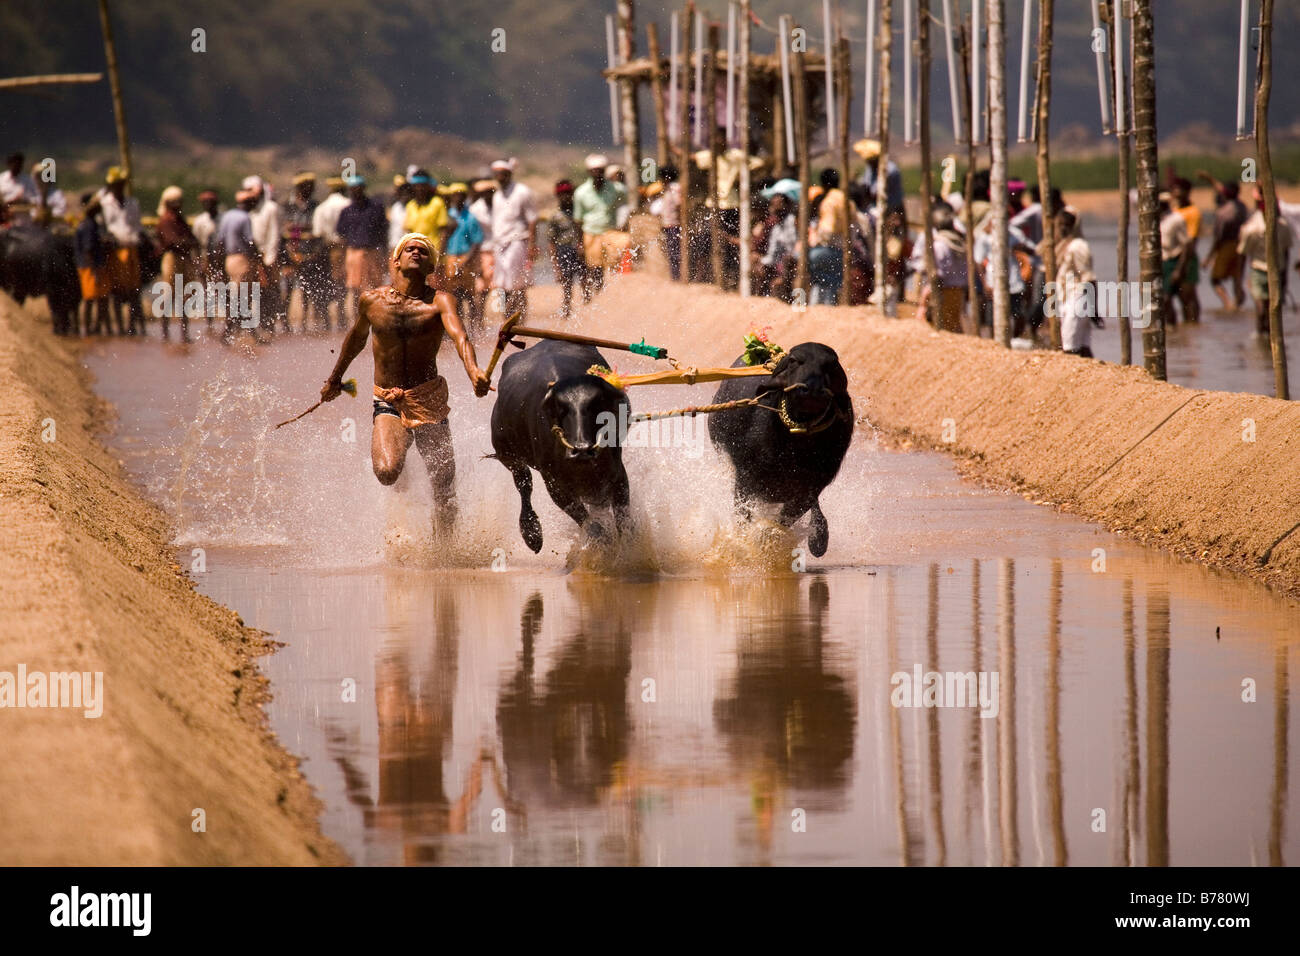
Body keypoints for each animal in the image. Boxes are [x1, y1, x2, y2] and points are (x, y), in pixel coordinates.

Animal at [488, 343, 631, 554]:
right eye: (562, 409)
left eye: (596, 405)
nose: (582, 450)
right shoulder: (555, 485)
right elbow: (594, 527)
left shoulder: (617, 475)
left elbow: (624, 523)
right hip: (508, 455)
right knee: (524, 485)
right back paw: (532, 534)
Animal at [712, 343, 852, 554]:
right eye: (794, 361)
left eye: (831, 365)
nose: (812, 390)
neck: (796, 445)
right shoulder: (745, 481)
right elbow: (744, 519)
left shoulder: (808, 490)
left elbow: (780, 524)